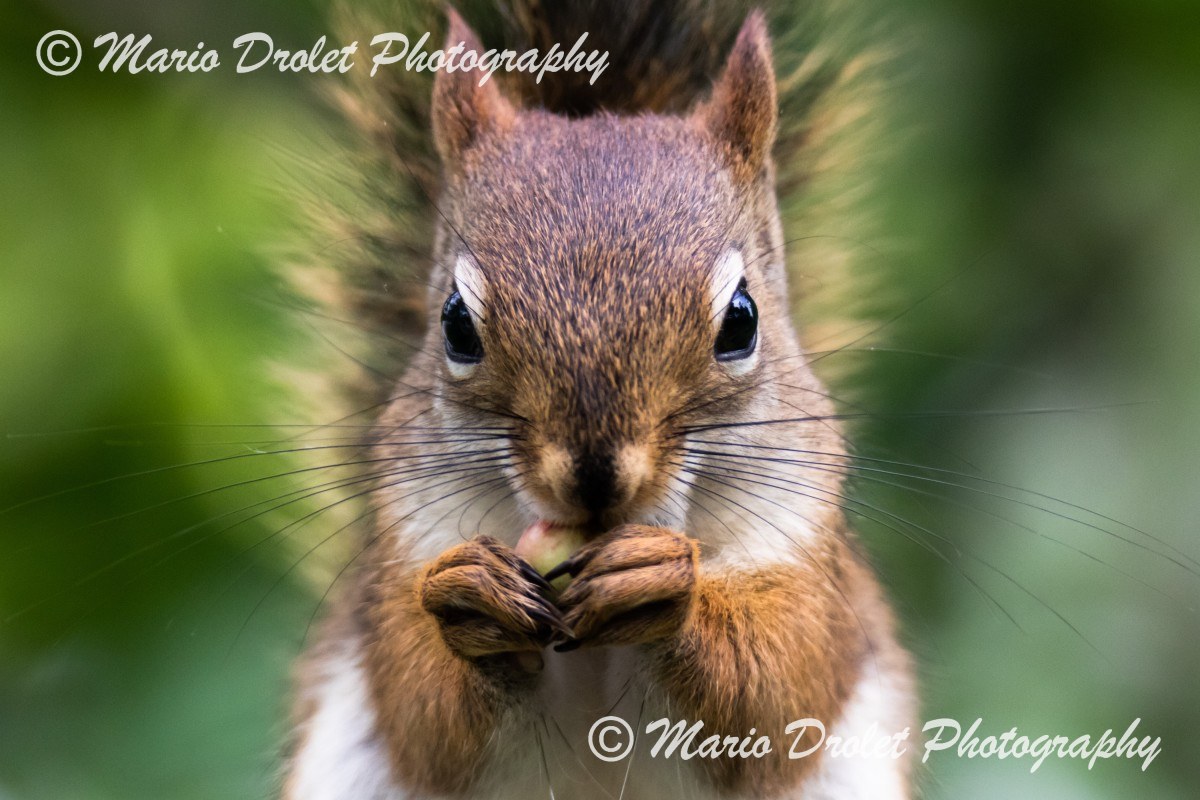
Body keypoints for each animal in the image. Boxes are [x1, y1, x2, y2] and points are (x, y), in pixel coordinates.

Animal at [283, 1, 916, 798]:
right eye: (455, 325)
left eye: (742, 321)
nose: (593, 481)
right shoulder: (404, 548)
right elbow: (421, 712)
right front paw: (471, 594)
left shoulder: (803, 547)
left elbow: (778, 687)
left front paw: (664, 588)